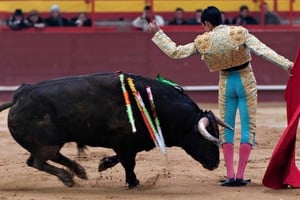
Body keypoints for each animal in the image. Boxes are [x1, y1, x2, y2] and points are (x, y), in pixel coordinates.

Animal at [0, 72, 231, 188]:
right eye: (205, 138)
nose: (215, 164)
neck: (154, 104)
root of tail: (20, 94)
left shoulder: (131, 142)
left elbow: (124, 157)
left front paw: (103, 164)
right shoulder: (123, 141)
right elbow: (129, 162)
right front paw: (133, 182)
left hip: (49, 142)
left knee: (44, 158)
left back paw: (79, 171)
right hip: (46, 143)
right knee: (38, 161)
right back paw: (68, 178)